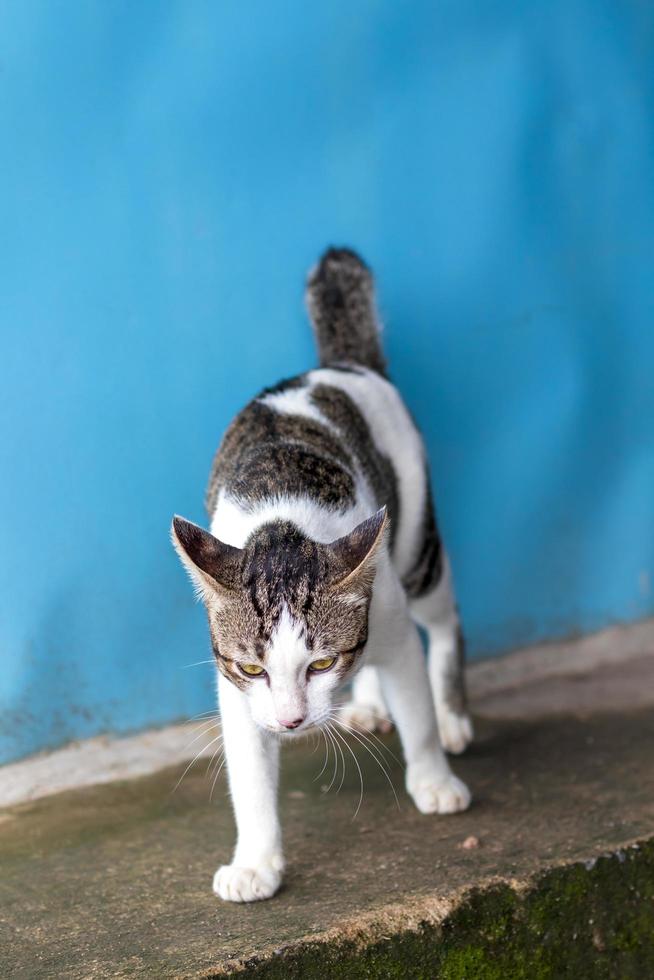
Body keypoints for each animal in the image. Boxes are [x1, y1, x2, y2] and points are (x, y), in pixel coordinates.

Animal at [172, 247, 474, 904]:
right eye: (253, 668)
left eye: (320, 662)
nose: (291, 722)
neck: (281, 518)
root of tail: (338, 365)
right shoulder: (237, 691)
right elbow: (249, 775)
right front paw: (256, 862)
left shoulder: (389, 617)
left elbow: (415, 709)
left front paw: (433, 776)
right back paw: (366, 704)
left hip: (414, 546)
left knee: (443, 620)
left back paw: (453, 715)